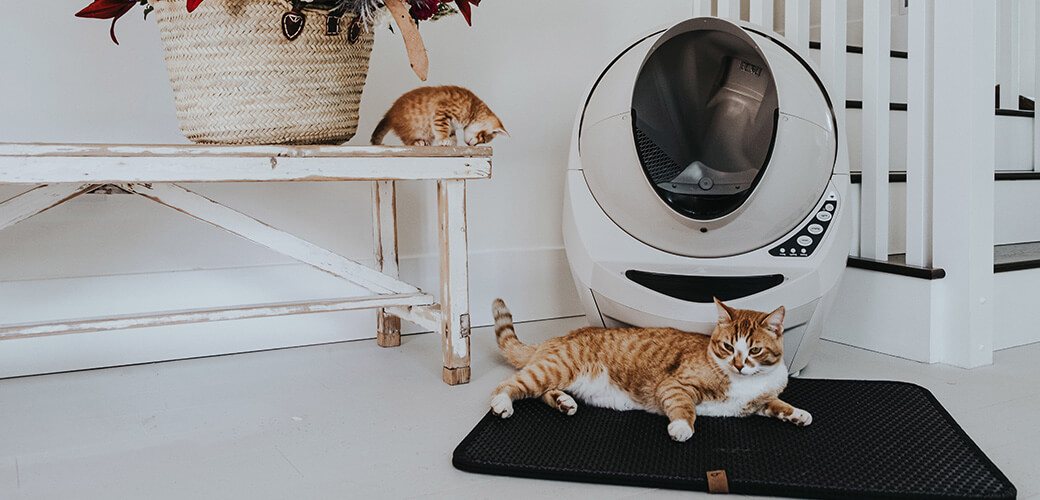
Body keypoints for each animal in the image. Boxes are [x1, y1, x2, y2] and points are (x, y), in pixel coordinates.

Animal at [370, 85, 507, 146]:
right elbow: (442, 128)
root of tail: (390, 113)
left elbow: (451, 133)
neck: (473, 107)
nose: (471, 145)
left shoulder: (451, 125)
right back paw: (417, 142)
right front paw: (443, 139)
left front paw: (451, 141)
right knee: (407, 139)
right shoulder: (442, 111)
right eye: (483, 138)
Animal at [486, 295, 811, 440]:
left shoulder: (761, 401)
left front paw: (797, 414)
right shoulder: (676, 385)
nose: (739, 365)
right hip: (555, 369)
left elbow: (778, 404)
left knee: (543, 393)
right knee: (508, 385)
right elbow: (684, 408)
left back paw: (564, 402)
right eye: (728, 347)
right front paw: (682, 427)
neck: (746, 383)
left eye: (754, 350)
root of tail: (558, 337)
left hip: (555, 375)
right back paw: (502, 404)